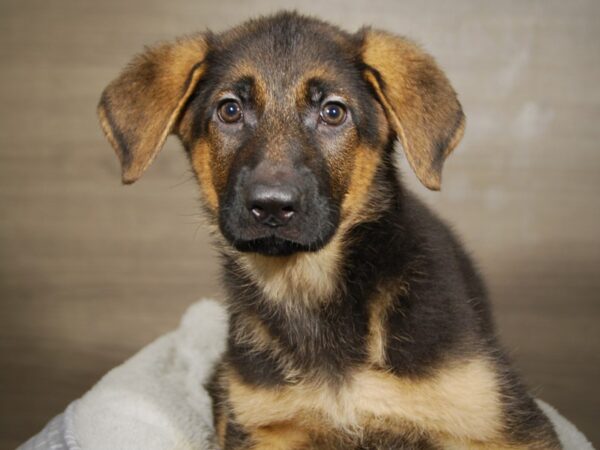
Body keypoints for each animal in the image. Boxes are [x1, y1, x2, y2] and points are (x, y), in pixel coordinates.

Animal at [98, 12, 564, 448]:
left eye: (333, 112)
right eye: (229, 110)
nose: (272, 206)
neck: (309, 290)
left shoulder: (505, 424)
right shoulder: (260, 425)